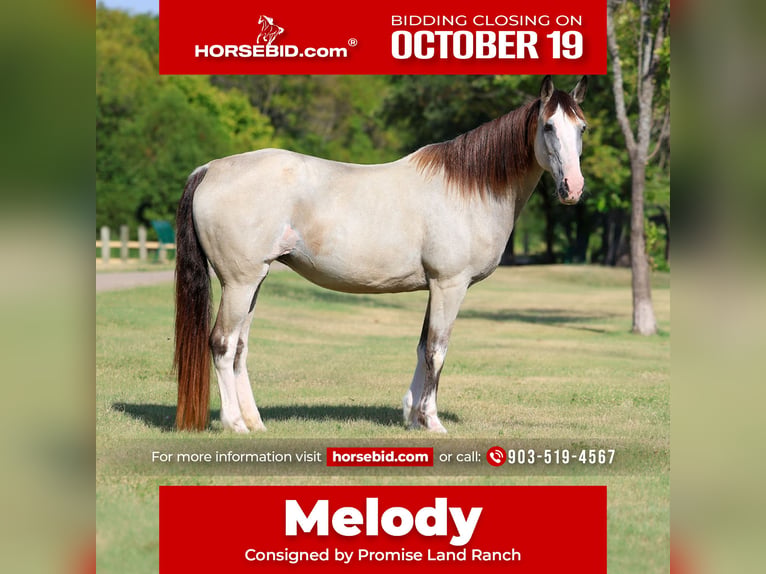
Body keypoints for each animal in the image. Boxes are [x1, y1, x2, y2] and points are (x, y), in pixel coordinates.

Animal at [173, 75, 588, 433]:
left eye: (581, 128)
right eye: (548, 127)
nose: (573, 187)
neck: (468, 188)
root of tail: (210, 169)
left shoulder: (434, 287)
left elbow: (422, 348)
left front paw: (412, 417)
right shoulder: (449, 286)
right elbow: (437, 350)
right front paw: (432, 421)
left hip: (254, 282)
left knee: (240, 348)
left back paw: (256, 422)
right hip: (239, 283)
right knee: (222, 344)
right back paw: (235, 423)